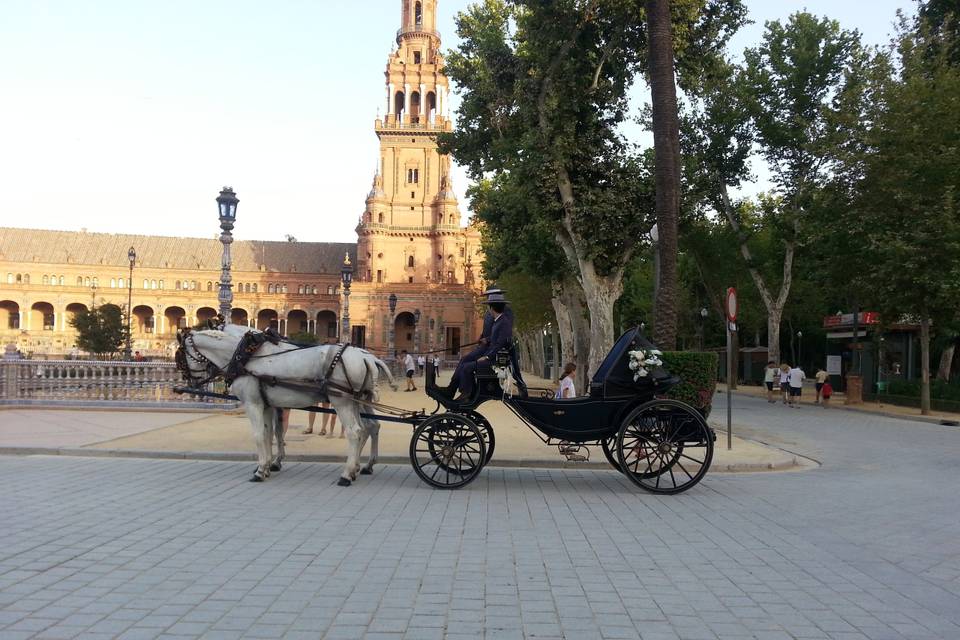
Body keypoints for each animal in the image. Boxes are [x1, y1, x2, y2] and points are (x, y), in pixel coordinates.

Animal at [176, 328, 394, 482]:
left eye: (181, 355)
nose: (191, 381)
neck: (244, 357)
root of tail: (366, 356)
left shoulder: (252, 404)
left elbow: (259, 435)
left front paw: (260, 470)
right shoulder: (267, 404)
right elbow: (270, 433)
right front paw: (267, 466)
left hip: (343, 402)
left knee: (355, 431)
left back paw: (347, 474)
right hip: (358, 400)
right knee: (370, 427)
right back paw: (361, 466)